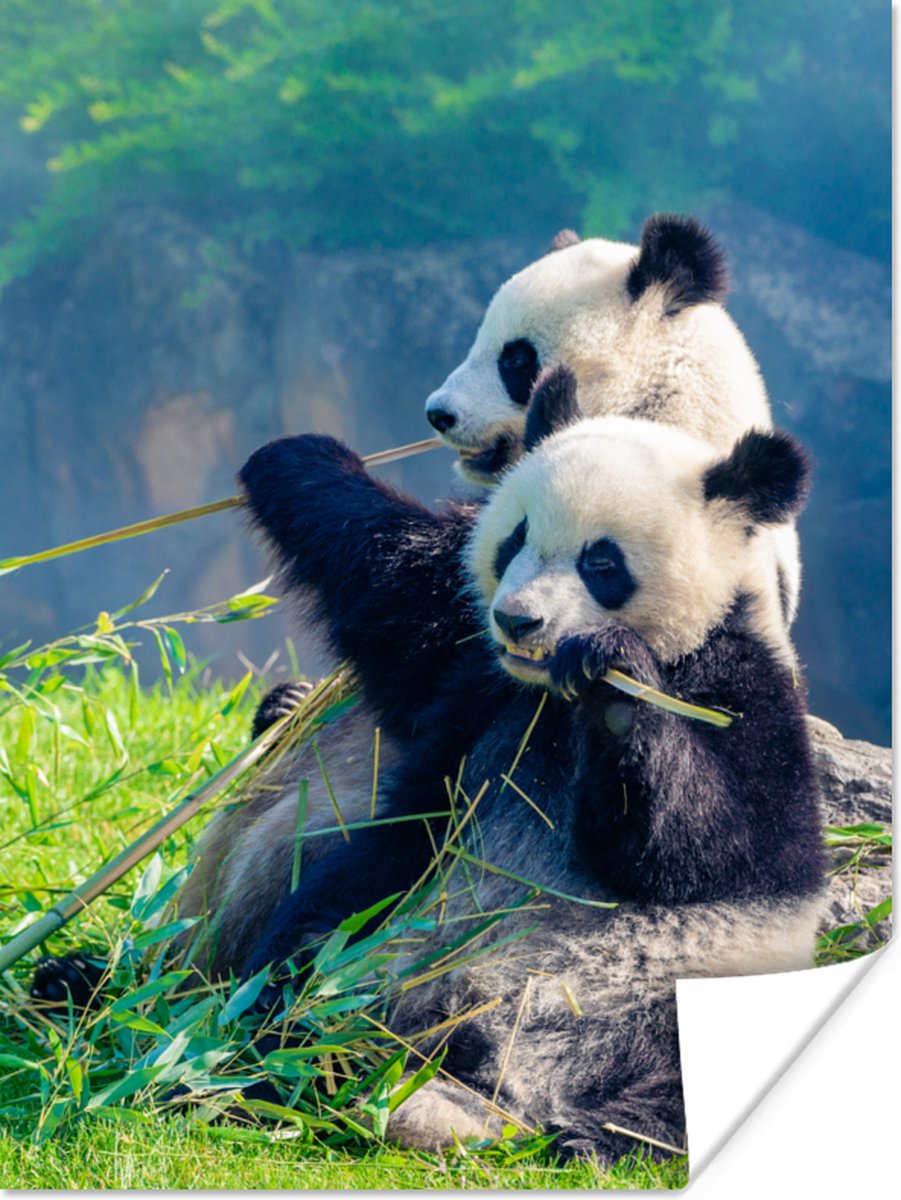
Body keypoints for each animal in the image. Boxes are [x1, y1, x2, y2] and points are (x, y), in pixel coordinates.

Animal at [228, 367, 825, 1160]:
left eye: (601, 562)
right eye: (514, 538)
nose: (518, 620)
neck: (550, 698)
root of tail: (500, 1079)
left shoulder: (743, 686)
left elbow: (710, 847)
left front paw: (611, 675)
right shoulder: (479, 692)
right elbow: (399, 609)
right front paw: (296, 459)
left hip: (672, 989)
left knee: (677, 1074)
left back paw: (594, 1133)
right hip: (386, 931)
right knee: (312, 949)